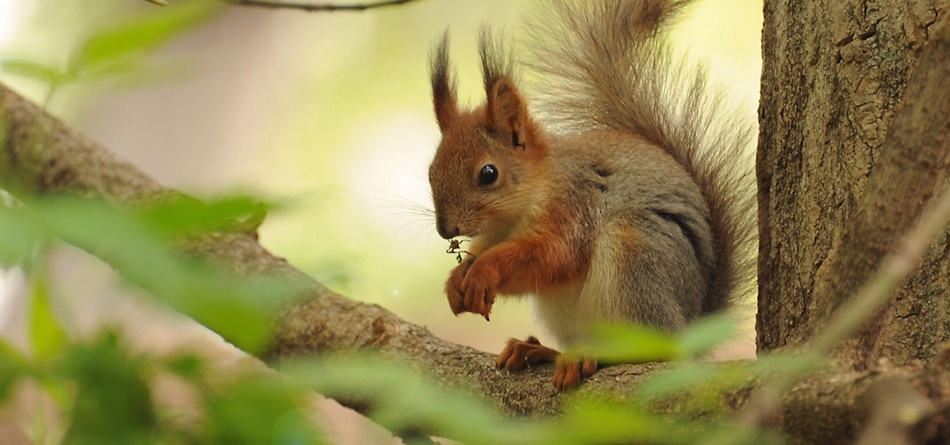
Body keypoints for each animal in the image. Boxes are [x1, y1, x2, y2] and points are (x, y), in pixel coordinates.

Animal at [428, 0, 756, 388]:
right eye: (431, 170)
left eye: (488, 174)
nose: (445, 230)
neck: (518, 210)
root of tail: (691, 330)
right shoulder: (497, 232)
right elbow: (486, 251)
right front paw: (456, 280)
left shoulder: (572, 206)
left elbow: (553, 255)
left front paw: (483, 272)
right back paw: (539, 351)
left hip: (637, 258)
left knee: (652, 349)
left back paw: (592, 355)